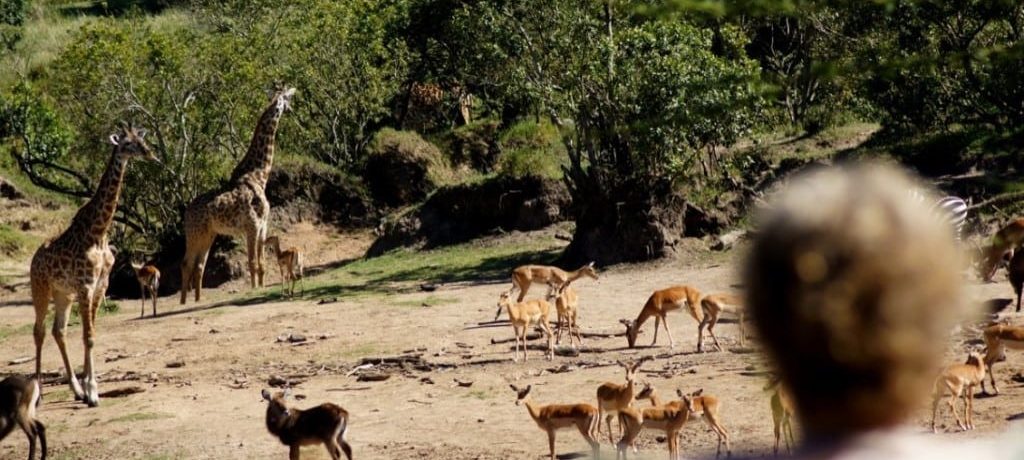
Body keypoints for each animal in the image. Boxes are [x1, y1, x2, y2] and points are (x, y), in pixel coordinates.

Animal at [29, 124, 155, 405]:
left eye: (142, 139)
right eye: (127, 143)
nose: (150, 154)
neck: (99, 232)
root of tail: (33, 259)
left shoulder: (100, 285)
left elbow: (92, 334)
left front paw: (88, 389)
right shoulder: (85, 285)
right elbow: (88, 337)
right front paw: (93, 392)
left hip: (62, 293)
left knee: (59, 331)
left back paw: (75, 390)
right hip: (40, 289)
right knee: (38, 331)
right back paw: (39, 393)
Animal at [176, 85, 294, 305]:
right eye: (287, 98)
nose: (290, 109)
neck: (259, 175)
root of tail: (186, 213)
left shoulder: (263, 226)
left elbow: (262, 263)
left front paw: (261, 286)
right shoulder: (251, 225)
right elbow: (252, 262)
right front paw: (254, 289)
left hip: (208, 234)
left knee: (199, 265)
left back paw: (198, 300)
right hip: (194, 233)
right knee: (186, 263)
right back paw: (183, 302)